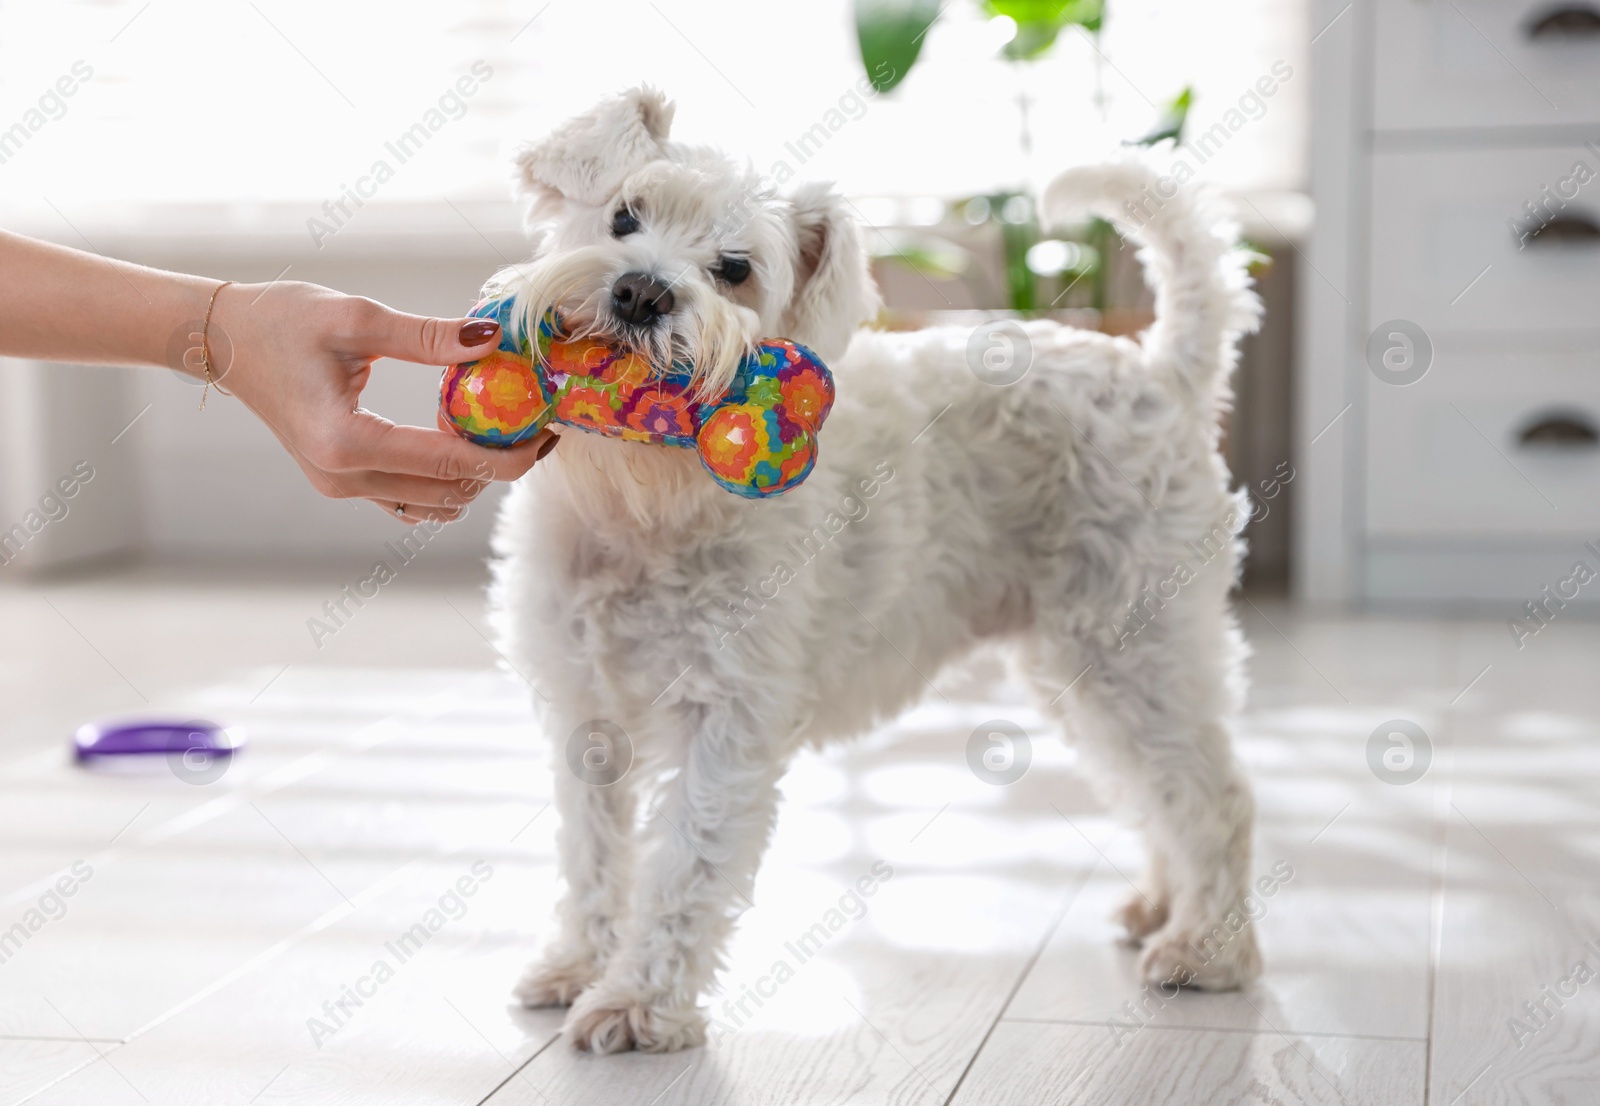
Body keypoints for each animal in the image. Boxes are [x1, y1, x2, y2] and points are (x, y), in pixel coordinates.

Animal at [486, 86, 1260, 1056]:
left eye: (735, 269)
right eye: (624, 214)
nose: (642, 291)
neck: (641, 512)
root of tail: (1161, 369)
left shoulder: (725, 719)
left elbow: (683, 868)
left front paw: (636, 1003)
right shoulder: (585, 714)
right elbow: (594, 855)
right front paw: (576, 966)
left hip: (1135, 648)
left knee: (1212, 795)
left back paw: (1207, 947)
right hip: (1086, 668)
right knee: (1161, 791)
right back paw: (1163, 905)